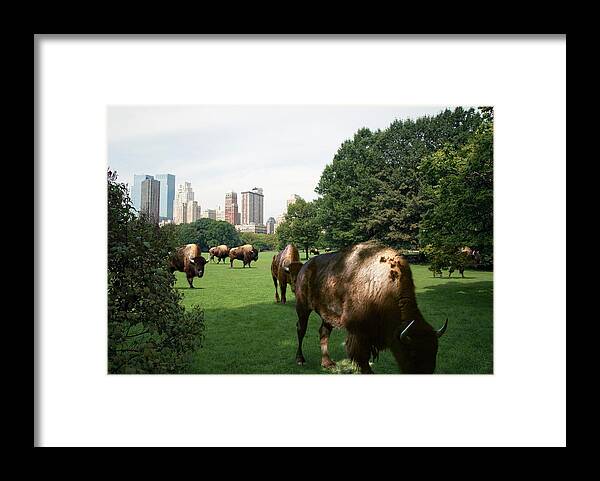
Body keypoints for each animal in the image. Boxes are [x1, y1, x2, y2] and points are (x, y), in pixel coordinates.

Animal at [292, 242, 448, 374]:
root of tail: (304, 267)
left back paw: (327, 363)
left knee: (323, 333)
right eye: (413, 354)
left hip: (327, 315)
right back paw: (300, 360)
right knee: (301, 329)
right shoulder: (359, 332)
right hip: (302, 307)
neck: (385, 287)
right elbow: (361, 356)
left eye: (434, 351)